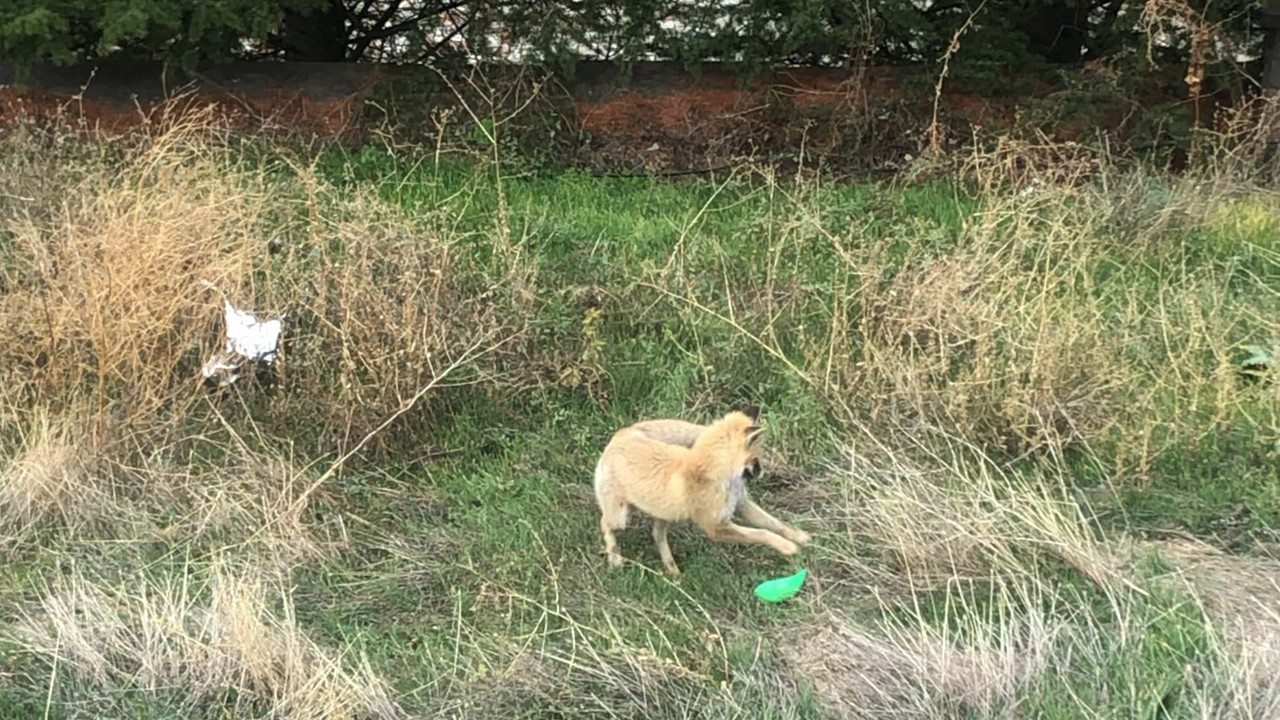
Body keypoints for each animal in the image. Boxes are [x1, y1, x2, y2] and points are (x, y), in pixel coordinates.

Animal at [593, 404, 814, 571]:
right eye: (757, 457)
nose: (762, 472)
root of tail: (621, 435)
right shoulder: (715, 528)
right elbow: (761, 533)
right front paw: (786, 546)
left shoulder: (741, 504)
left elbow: (775, 524)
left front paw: (798, 537)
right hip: (621, 518)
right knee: (605, 524)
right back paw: (615, 558)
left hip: (666, 514)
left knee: (656, 534)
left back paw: (672, 569)